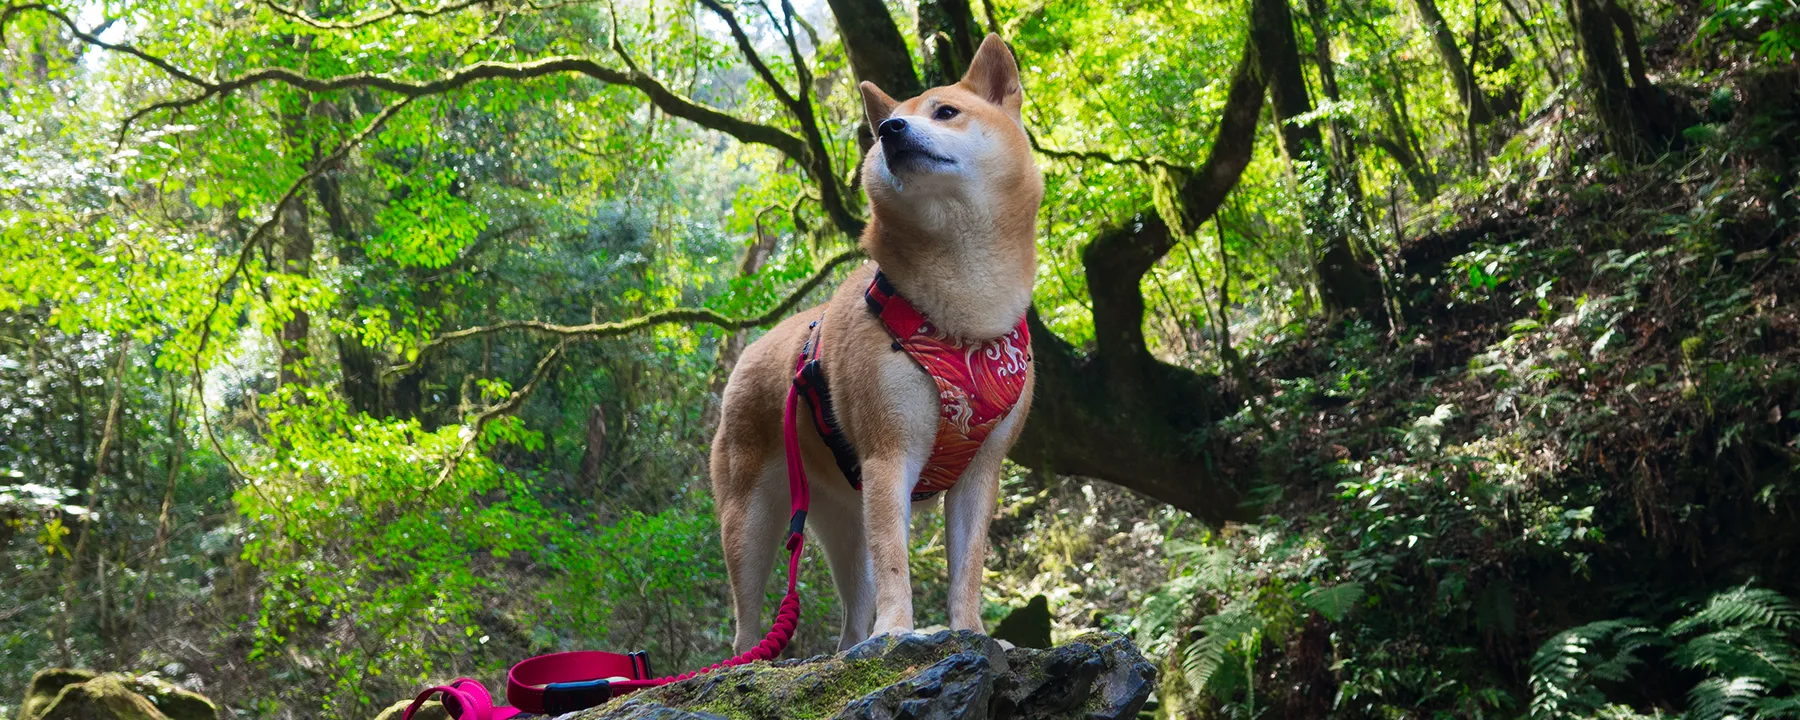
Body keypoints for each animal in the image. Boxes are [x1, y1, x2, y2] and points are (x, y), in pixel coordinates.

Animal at [702, 33, 1044, 648]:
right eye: (884, 124)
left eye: (945, 112)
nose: (890, 129)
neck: (964, 319)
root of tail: (752, 351)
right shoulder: (890, 455)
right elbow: (896, 564)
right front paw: (899, 633)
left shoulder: (981, 472)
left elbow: (968, 569)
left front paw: (973, 632)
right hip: (750, 520)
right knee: (746, 624)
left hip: (843, 522)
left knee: (850, 621)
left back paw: (854, 648)